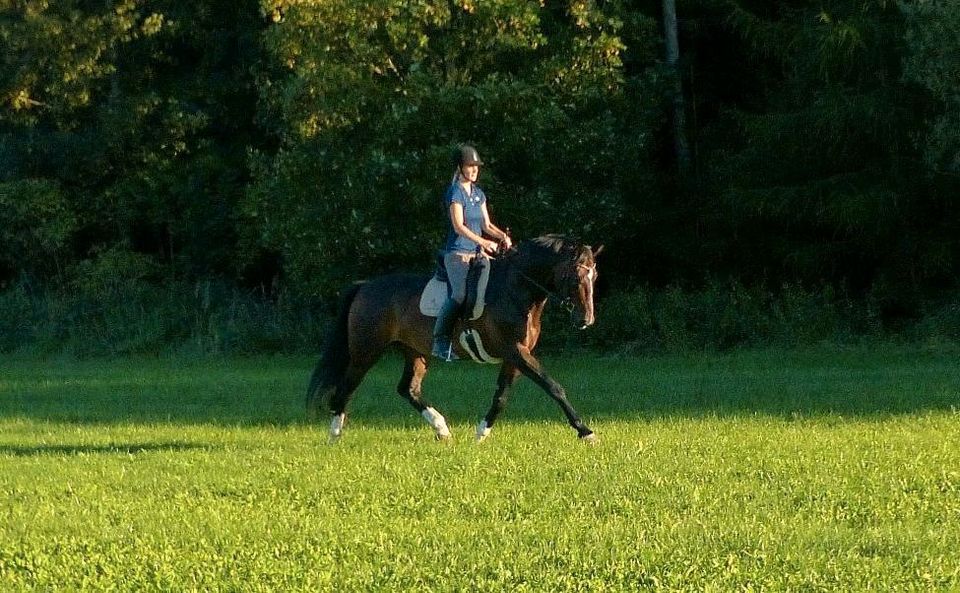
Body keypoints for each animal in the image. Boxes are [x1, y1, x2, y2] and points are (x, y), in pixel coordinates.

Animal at [304, 234, 604, 442]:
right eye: (576, 276)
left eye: (595, 276)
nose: (586, 320)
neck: (516, 290)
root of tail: (365, 285)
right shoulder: (515, 351)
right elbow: (553, 387)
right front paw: (585, 431)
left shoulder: (516, 355)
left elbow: (501, 397)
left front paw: (481, 433)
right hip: (366, 352)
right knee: (345, 389)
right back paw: (334, 436)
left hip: (414, 351)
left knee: (408, 389)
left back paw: (442, 429)